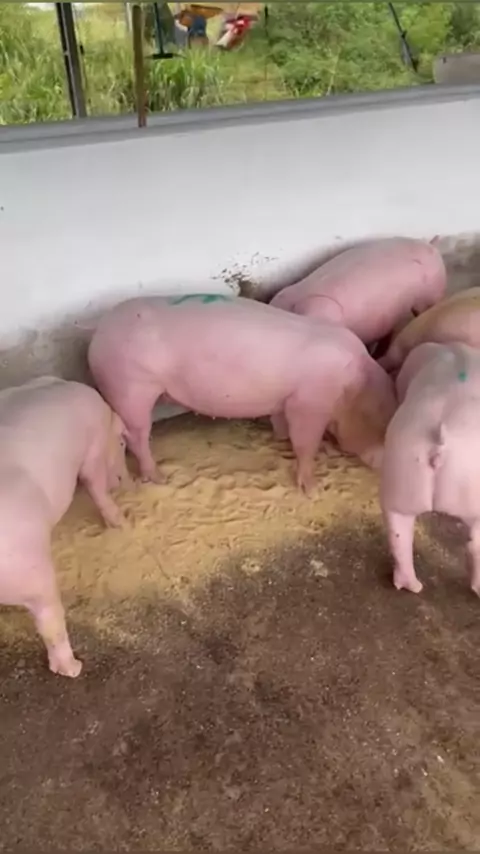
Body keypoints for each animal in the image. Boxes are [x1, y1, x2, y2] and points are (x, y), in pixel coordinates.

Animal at [0, 376, 129, 678]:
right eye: (122, 444)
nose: (125, 481)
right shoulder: (93, 449)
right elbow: (95, 485)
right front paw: (123, 524)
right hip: (34, 570)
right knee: (51, 621)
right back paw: (73, 668)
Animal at [87, 294, 397, 494]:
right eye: (383, 429)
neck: (352, 386)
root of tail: (97, 337)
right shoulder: (308, 402)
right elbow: (305, 442)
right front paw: (313, 489)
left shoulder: (287, 401)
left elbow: (283, 425)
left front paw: (281, 438)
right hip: (131, 387)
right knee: (136, 436)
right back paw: (159, 478)